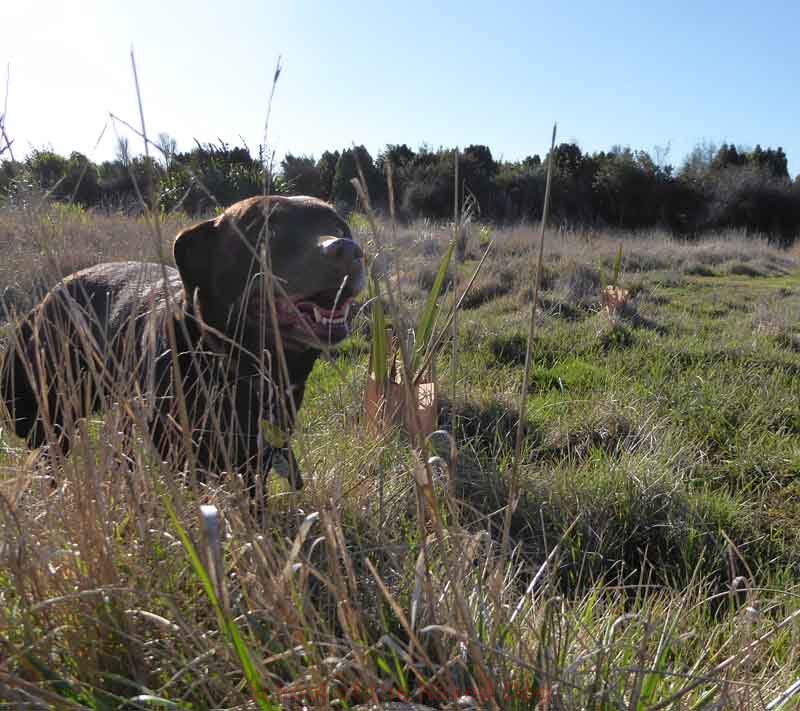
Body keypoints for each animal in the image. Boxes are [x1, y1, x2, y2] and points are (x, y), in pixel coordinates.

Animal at [0, 195, 365, 490]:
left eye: (339, 227)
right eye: (267, 230)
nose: (348, 249)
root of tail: (47, 297)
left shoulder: (257, 455)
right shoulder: (182, 453)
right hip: (55, 413)